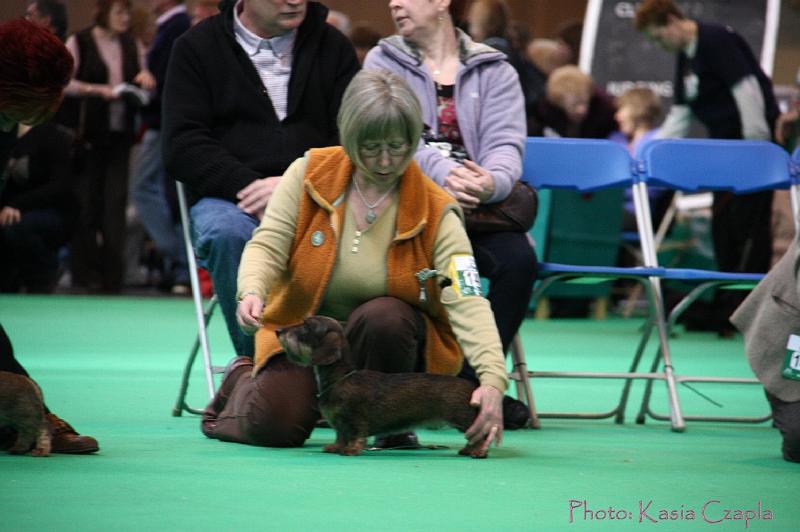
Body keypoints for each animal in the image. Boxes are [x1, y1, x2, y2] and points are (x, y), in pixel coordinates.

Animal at [276, 316, 488, 458]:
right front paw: (335, 447)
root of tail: (472, 386)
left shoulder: (356, 420)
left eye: (306, 326)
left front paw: (351, 450)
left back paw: (477, 451)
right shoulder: (339, 424)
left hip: (463, 418)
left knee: (480, 435)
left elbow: (355, 435)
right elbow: (340, 435)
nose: (278, 330)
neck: (341, 378)